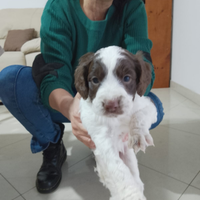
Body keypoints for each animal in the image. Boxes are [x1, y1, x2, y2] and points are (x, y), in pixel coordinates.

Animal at [74, 46, 157, 199]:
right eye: (95, 80)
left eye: (127, 78)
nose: (111, 104)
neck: (116, 118)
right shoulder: (102, 141)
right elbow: (120, 172)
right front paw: (133, 196)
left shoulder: (147, 105)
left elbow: (140, 115)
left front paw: (138, 135)